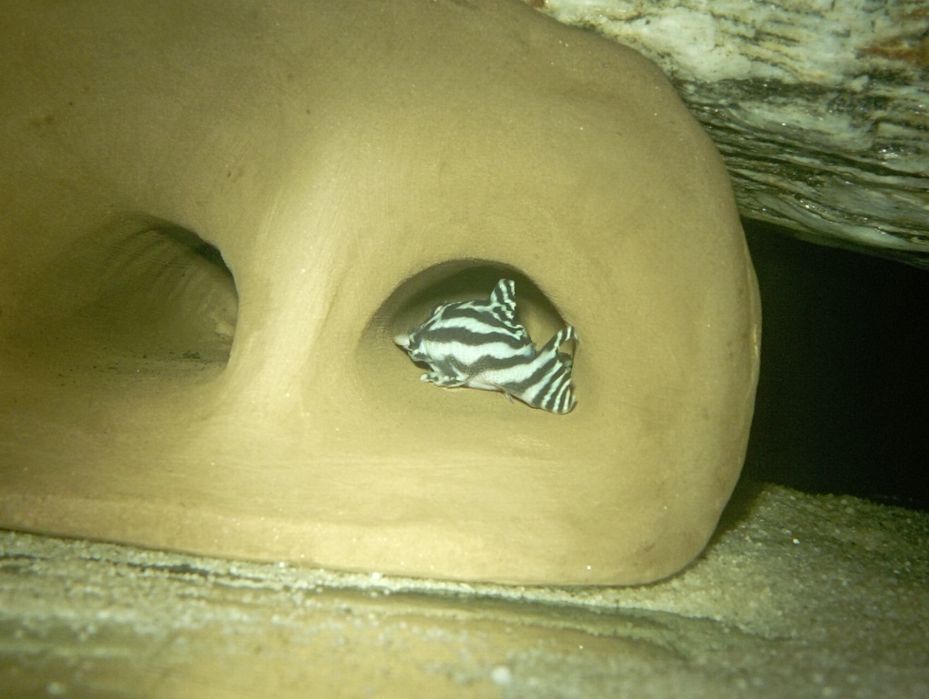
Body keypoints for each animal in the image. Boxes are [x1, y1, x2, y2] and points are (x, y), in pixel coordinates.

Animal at [394, 278, 578, 414]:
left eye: (413, 349)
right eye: (433, 308)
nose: (400, 338)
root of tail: (528, 360)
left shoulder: (454, 372)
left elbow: (444, 378)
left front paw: (429, 377)